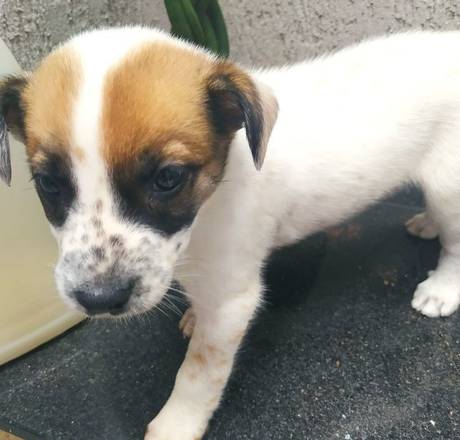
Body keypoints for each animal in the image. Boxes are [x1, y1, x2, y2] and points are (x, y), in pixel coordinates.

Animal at [1, 26, 460, 439]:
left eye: (168, 178)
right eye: (49, 184)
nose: (99, 300)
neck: (208, 209)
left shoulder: (231, 302)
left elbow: (197, 373)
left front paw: (176, 425)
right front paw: (191, 315)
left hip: (447, 187)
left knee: (455, 245)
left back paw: (441, 288)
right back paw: (426, 224)